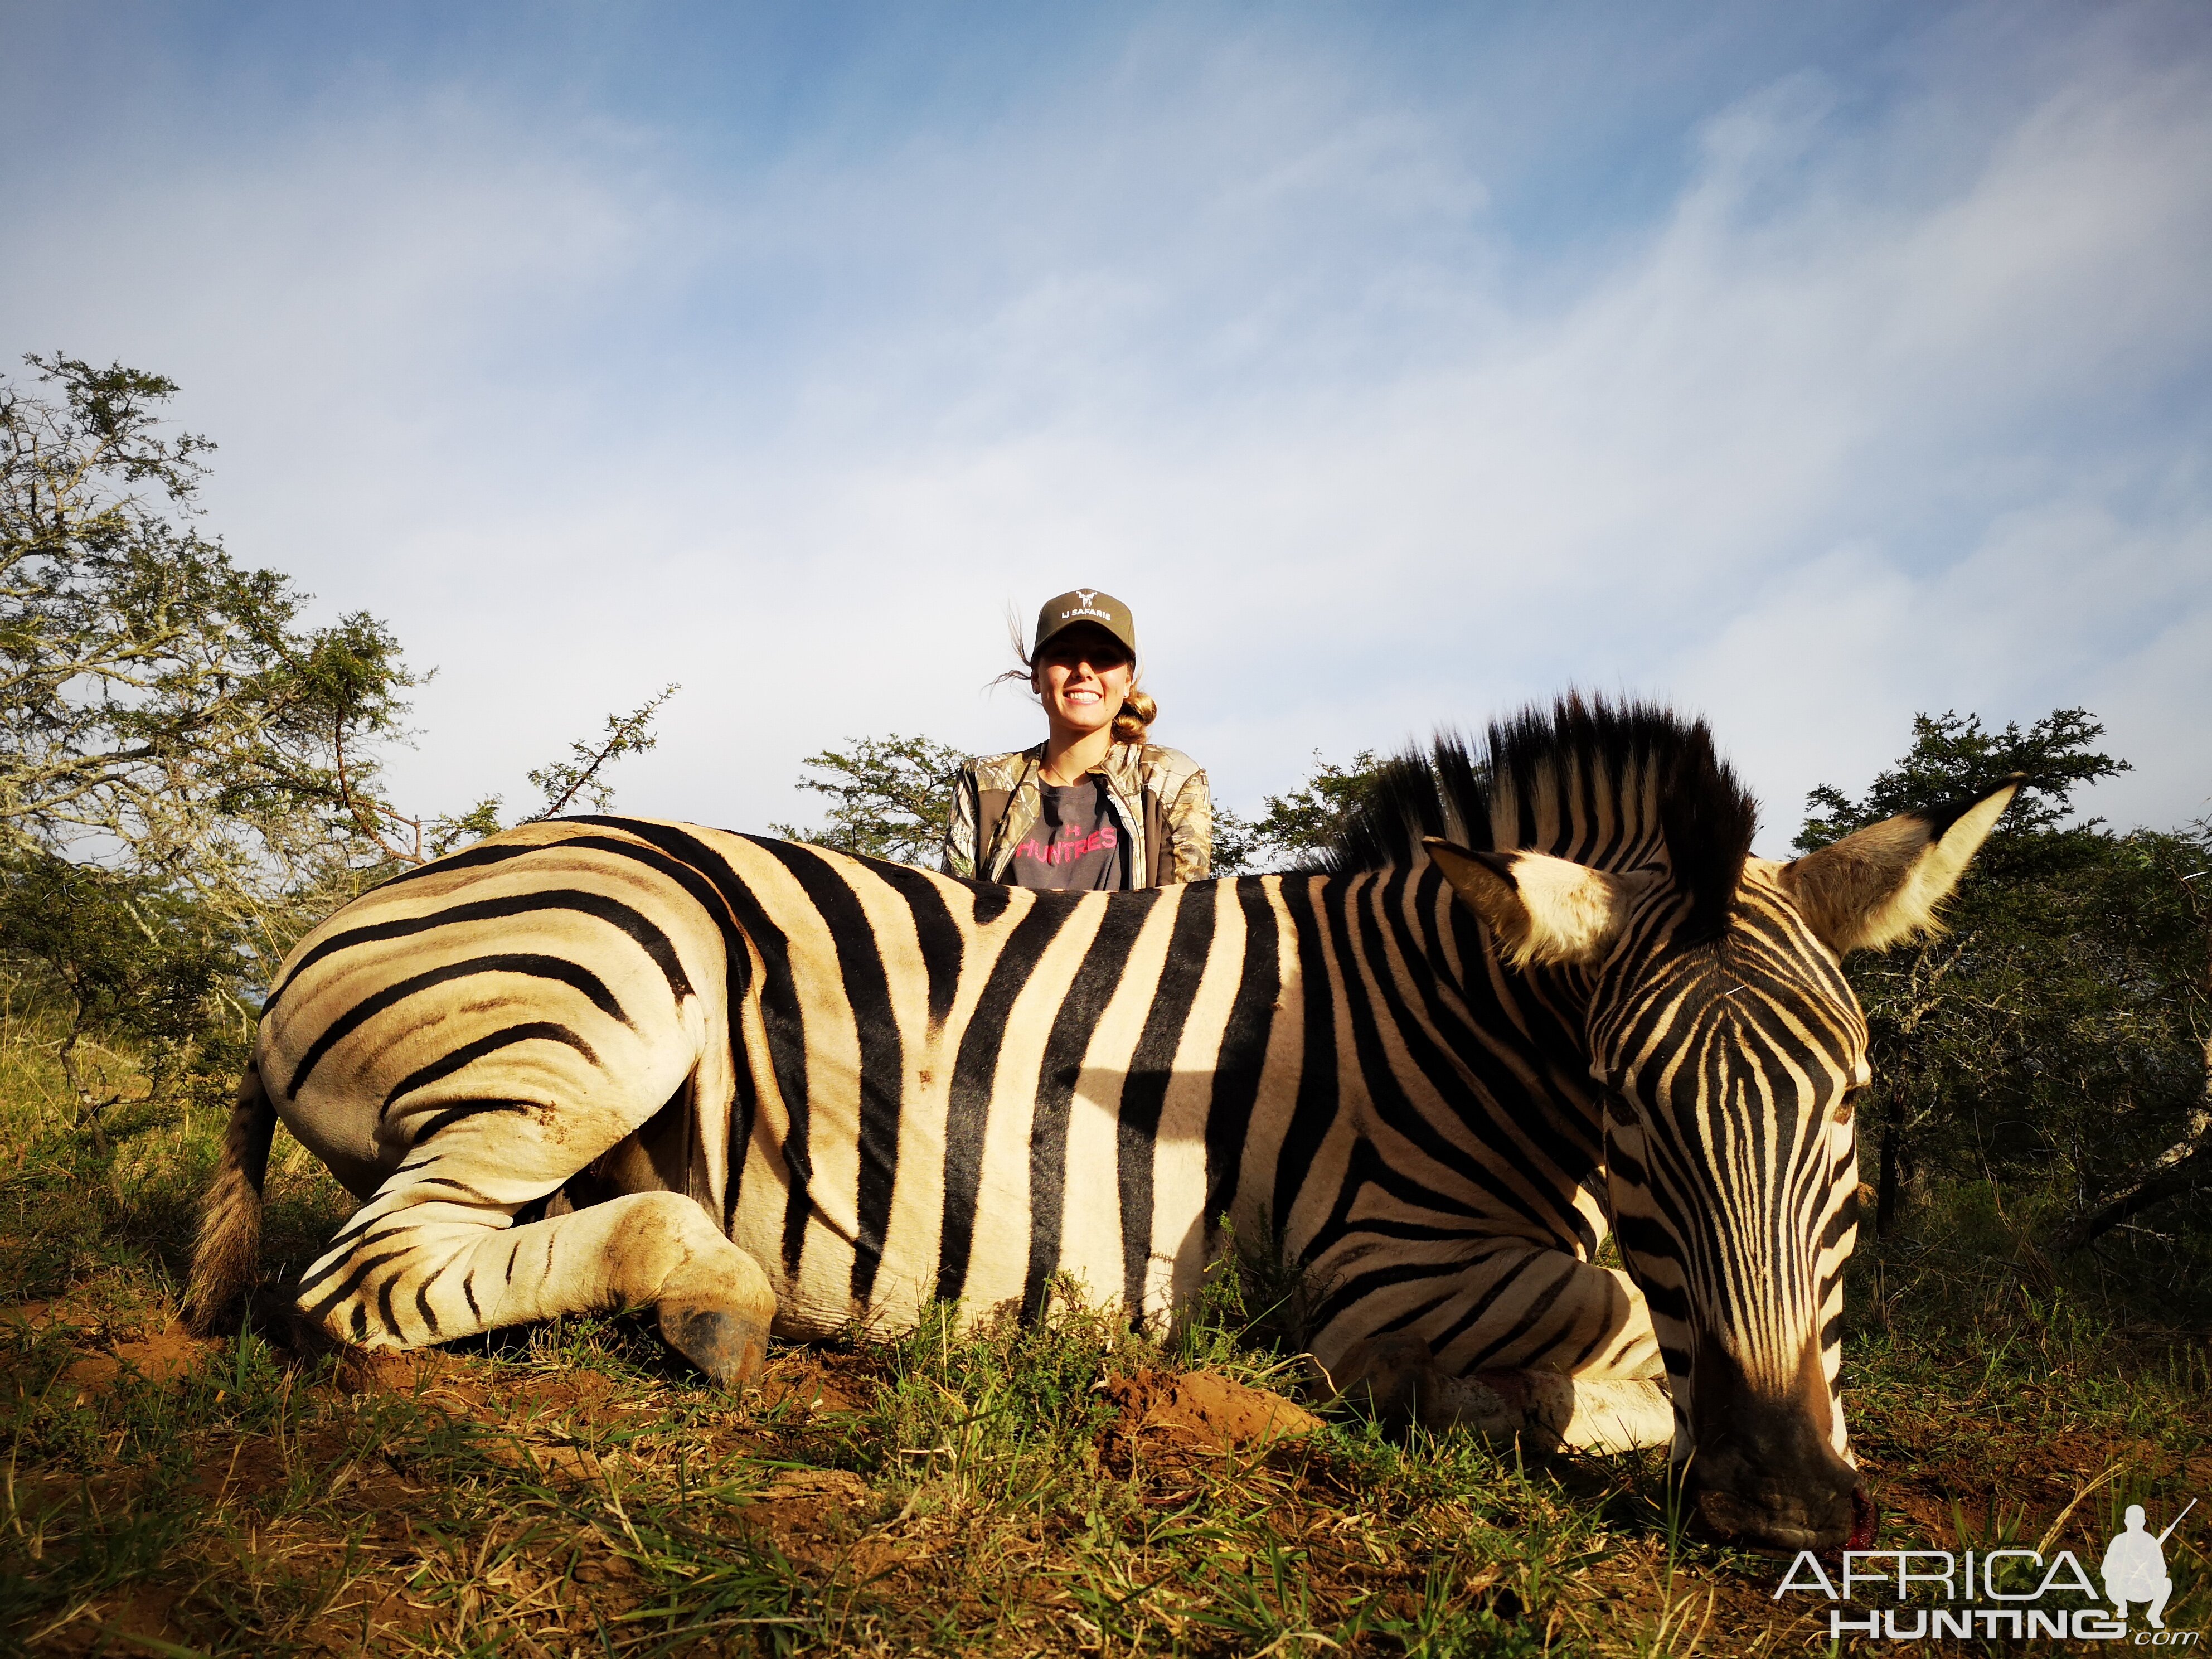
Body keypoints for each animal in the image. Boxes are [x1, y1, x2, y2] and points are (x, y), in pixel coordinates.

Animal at [195, 694, 2026, 1557]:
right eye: (1629, 1110)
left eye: (1851, 1103)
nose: (1782, 1509)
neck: (1459, 1016)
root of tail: (314, 936)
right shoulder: (1383, 1257)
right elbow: (1614, 1320)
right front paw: (1486, 1406)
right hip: (608, 990)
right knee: (361, 1283)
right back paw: (708, 1292)